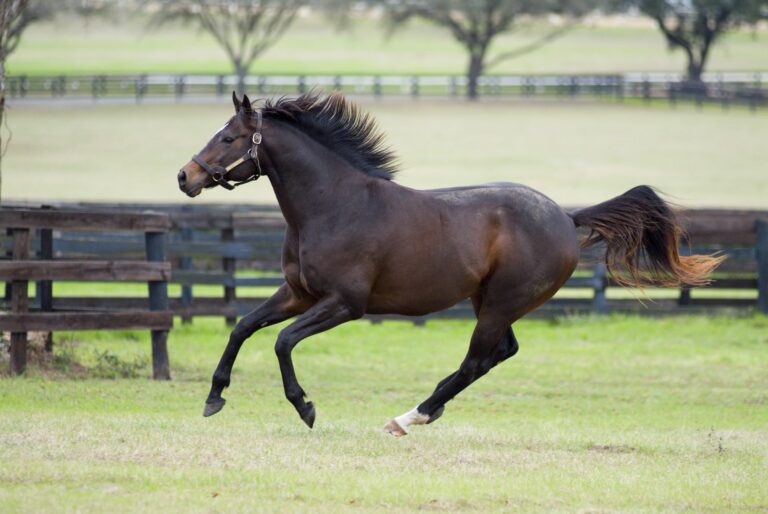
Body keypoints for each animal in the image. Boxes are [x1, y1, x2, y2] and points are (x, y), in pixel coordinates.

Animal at [177, 93, 724, 436]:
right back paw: (424, 412)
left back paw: (408, 418)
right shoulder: (298, 293)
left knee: (478, 360)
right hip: (490, 301)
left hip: (500, 302)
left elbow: (282, 341)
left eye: (228, 138)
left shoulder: (345, 304)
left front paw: (306, 407)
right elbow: (243, 327)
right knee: (500, 353)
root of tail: (567, 219)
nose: (185, 177)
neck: (334, 205)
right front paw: (213, 398)